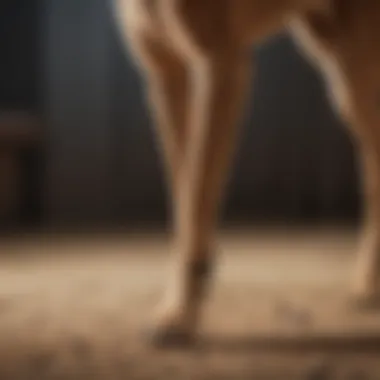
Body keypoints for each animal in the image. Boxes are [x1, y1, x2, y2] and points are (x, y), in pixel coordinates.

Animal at [114, 0, 380, 348]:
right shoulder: (164, 72)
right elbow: (185, 202)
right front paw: (185, 299)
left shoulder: (220, 66)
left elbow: (195, 201)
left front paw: (181, 316)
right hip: (337, 59)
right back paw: (368, 284)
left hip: (357, 65)